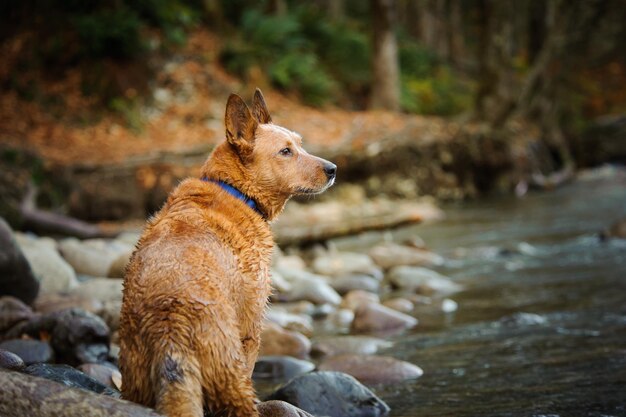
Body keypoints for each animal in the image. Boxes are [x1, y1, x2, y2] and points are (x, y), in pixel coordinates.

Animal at [120, 88, 336, 416]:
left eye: (300, 143)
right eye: (286, 152)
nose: (333, 169)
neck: (236, 191)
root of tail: (170, 329)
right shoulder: (251, 323)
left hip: (136, 382)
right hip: (230, 373)